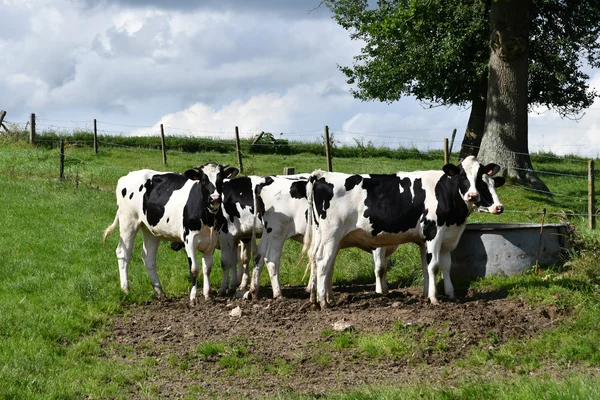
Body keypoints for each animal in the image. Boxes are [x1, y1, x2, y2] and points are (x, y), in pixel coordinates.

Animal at [104, 161, 238, 304]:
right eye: (203, 180)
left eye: (221, 179)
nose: (215, 198)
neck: (209, 219)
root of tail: (127, 176)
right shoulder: (189, 239)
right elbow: (194, 269)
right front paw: (193, 297)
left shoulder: (211, 241)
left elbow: (207, 268)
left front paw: (207, 295)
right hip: (128, 221)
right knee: (123, 253)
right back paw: (125, 289)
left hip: (150, 229)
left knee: (148, 257)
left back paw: (160, 292)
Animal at [250, 175, 398, 300]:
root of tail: (267, 180)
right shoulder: (377, 242)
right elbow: (380, 268)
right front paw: (380, 291)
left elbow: (384, 267)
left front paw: (385, 288)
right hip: (277, 232)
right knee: (272, 259)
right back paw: (278, 293)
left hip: (267, 233)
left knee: (259, 256)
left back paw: (253, 291)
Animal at [302, 156, 504, 310]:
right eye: (462, 175)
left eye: (481, 178)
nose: (473, 196)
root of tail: (321, 175)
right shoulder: (433, 233)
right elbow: (434, 266)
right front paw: (434, 298)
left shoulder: (441, 238)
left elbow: (441, 266)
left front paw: (446, 294)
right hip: (331, 235)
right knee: (323, 262)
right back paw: (323, 302)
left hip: (326, 237)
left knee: (320, 262)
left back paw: (323, 299)